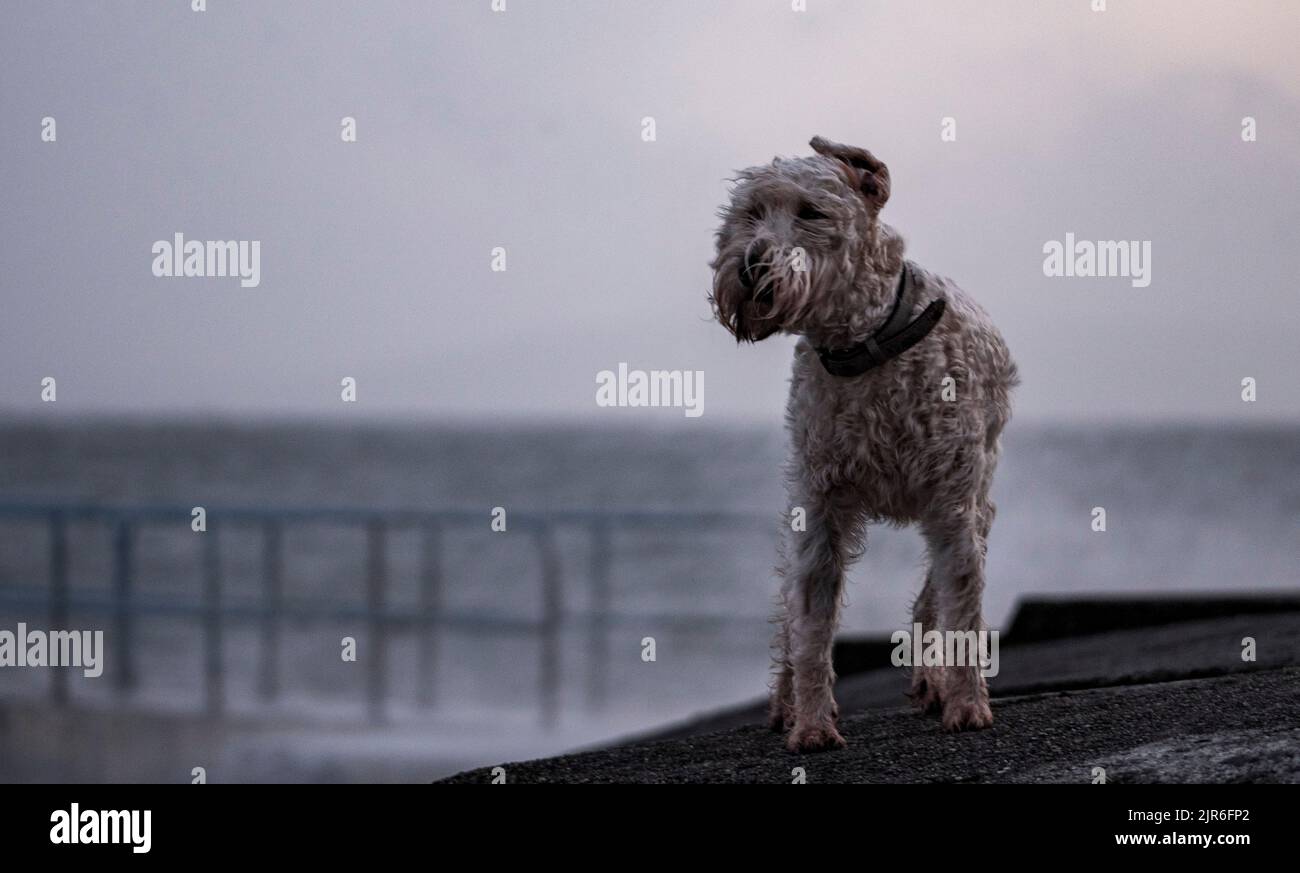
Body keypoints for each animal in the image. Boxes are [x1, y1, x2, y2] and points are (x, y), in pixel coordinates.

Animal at [707, 134, 1019, 748]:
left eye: (812, 213)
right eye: (750, 212)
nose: (750, 265)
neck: (866, 345)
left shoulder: (953, 500)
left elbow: (962, 605)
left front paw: (967, 706)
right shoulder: (819, 503)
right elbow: (810, 620)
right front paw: (811, 725)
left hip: (977, 499)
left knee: (933, 596)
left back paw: (933, 683)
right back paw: (784, 702)